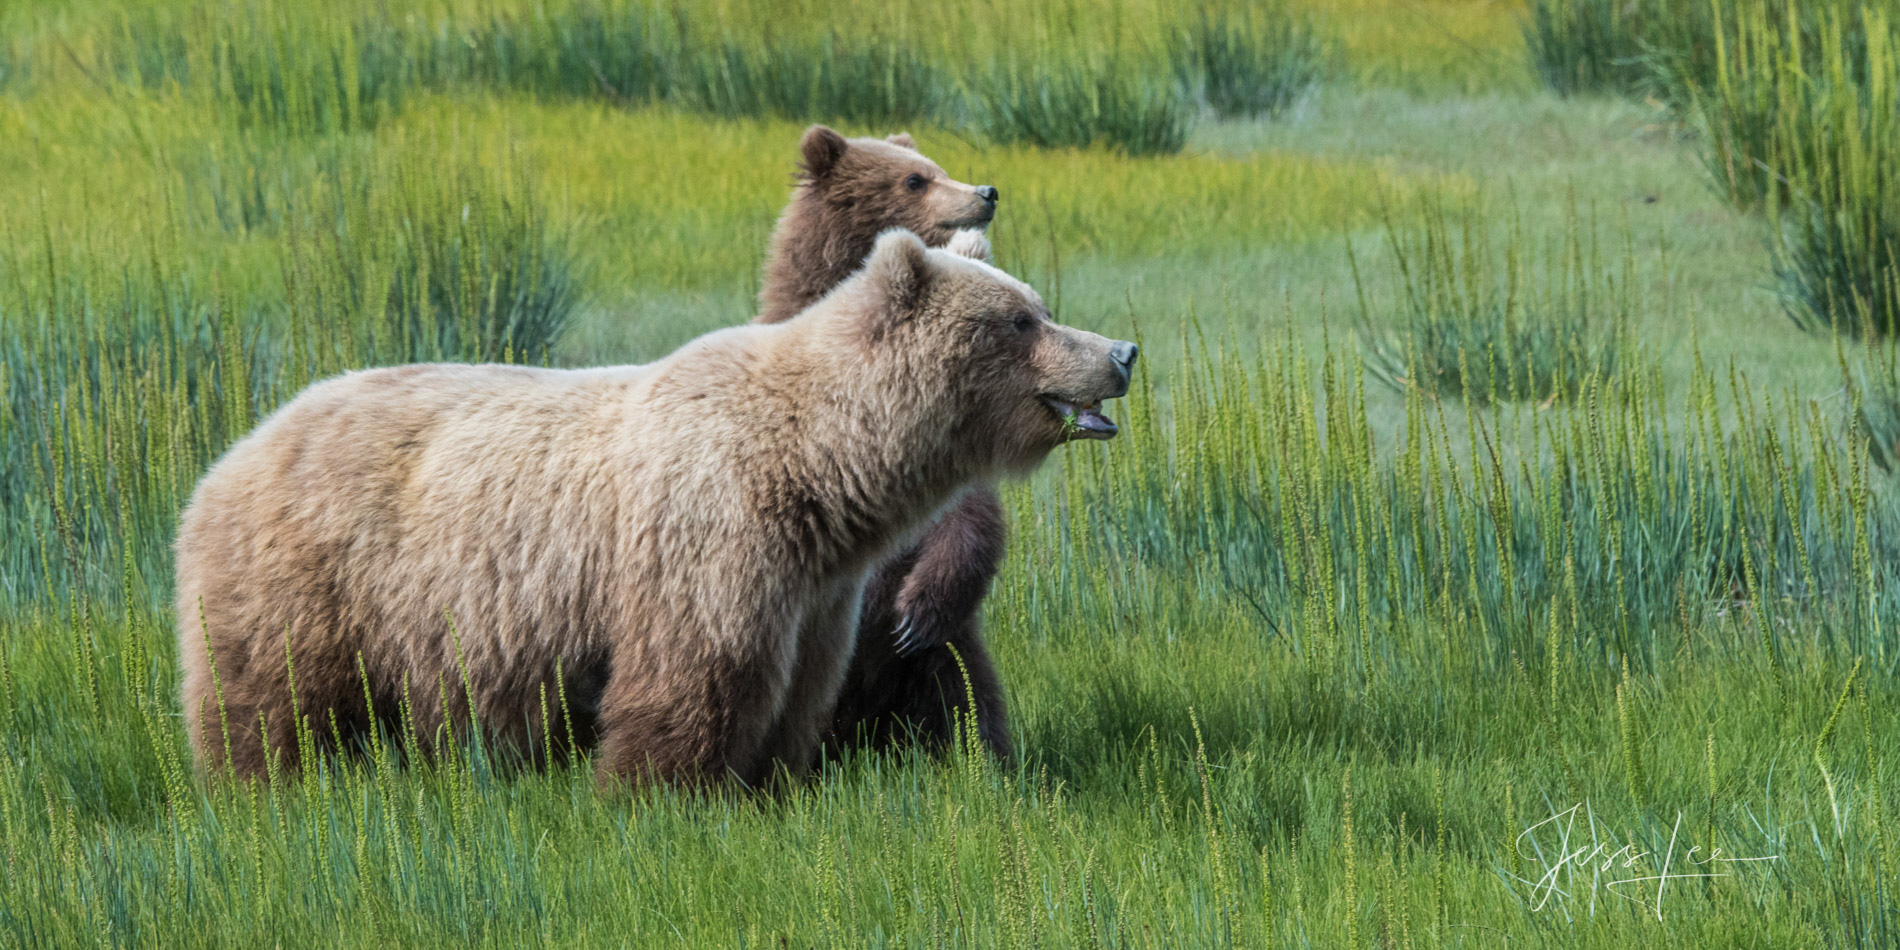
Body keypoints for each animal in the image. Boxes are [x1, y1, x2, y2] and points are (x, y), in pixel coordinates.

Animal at [178, 229, 1132, 786]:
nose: (1121, 351)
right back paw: (270, 786)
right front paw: (663, 795)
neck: (822, 469)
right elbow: (696, 679)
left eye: (1041, 306)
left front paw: (773, 782)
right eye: (1020, 320)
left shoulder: (817, 591)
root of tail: (232, 449)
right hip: (314, 572)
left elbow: (796, 694)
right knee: (273, 697)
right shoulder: (709, 535)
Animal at [756, 130, 1026, 760]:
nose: (986, 192)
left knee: (968, 700)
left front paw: (914, 613)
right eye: (914, 180)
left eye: (936, 166)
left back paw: (983, 762)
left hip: (942, 664)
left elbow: (966, 521)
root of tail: (869, 727)